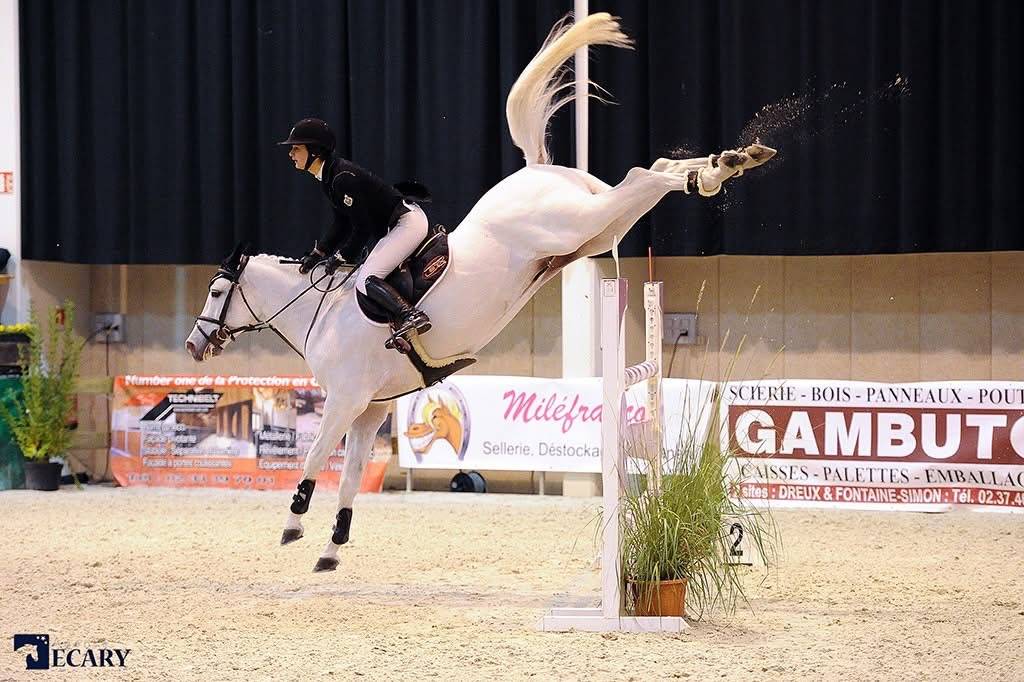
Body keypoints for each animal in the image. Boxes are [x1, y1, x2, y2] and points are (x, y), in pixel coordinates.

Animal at [185, 13, 775, 572]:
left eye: (216, 291)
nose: (194, 345)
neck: (321, 313)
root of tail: (537, 170)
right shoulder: (371, 408)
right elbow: (350, 476)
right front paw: (331, 549)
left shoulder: (347, 399)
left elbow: (313, 459)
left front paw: (294, 521)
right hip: (595, 230)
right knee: (648, 174)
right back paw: (727, 163)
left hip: (579, 224)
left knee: (642, 174)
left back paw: (720, 170)